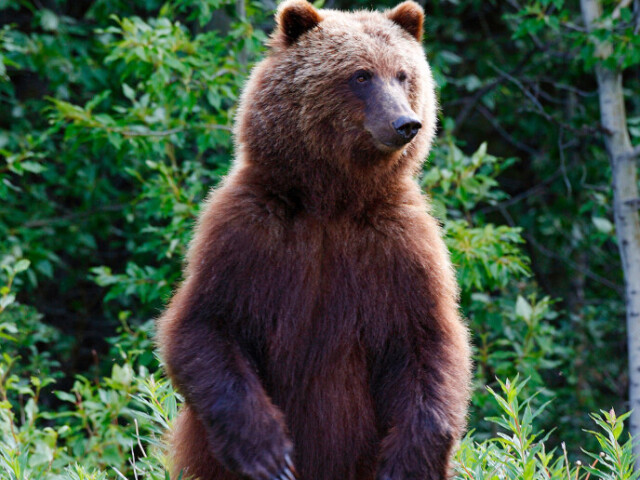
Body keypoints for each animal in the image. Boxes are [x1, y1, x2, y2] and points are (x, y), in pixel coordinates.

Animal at [158, 0, 472, 480]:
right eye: (361, 75)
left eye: (404, 74)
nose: (406, 123)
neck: (331, 200)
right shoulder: (248, 232)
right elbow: (205, 325)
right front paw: (269, 452)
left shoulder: (399, 247)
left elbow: (428, 341)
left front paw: (407, 462)